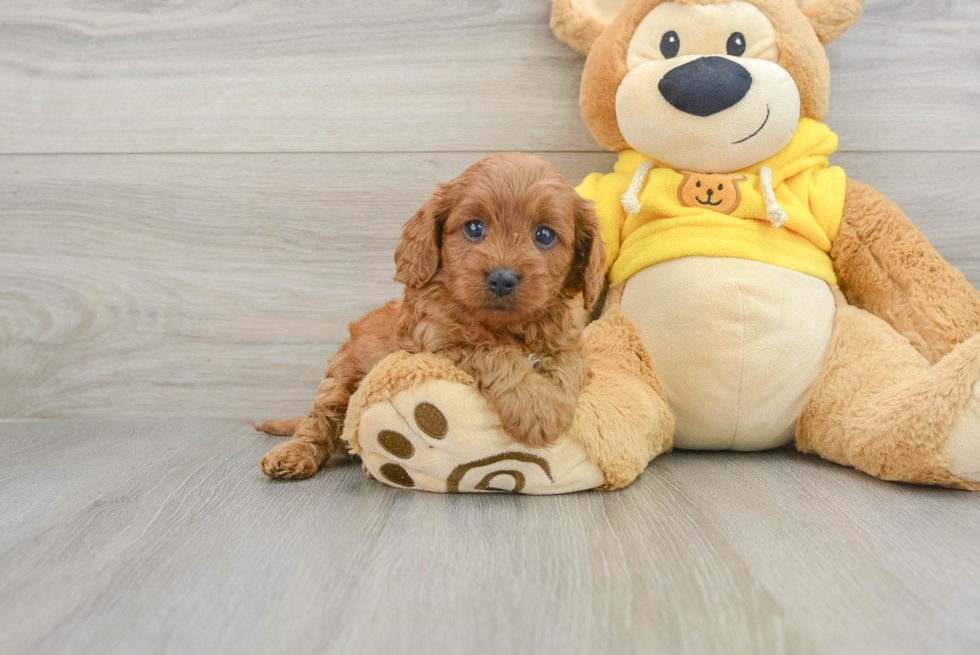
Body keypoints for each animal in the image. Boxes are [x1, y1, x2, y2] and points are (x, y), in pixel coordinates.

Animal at [258, 154, 604, 482]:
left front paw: (557, 400)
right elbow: (494, 352)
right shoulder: (438, 344)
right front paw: (535, 408)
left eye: (545, 234)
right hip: (341, 378)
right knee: (320, 422)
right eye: (474, 228)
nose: (502, 279)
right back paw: (294, 455)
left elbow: (571, 362)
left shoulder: (565, 340)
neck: (505, 325)